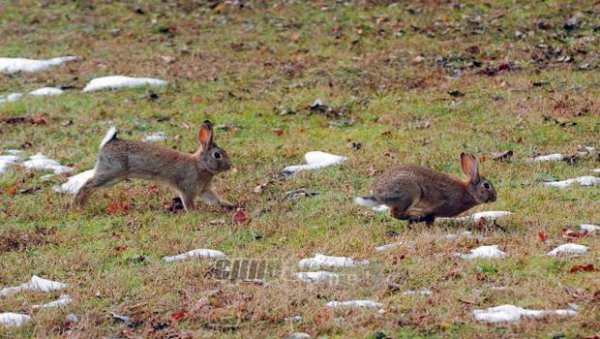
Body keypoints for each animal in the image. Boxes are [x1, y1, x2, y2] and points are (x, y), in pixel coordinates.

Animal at [73, 121, 234, 212]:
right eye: (217, 155)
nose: (230, 165)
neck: (200, 165)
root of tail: (108, 142)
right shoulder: (186, 188)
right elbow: (188, 202)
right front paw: (193, 213)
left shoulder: (203, 189)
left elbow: (214, 199)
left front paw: (228, 205)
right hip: (111, 173)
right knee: (87, 185)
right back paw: (77, 206)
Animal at [358, 154, 494, 226]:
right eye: (486, 185)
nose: (494, 197)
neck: (468, 191)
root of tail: (377, 194)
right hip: (410, 193)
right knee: (395, 213)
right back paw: (414, 216)